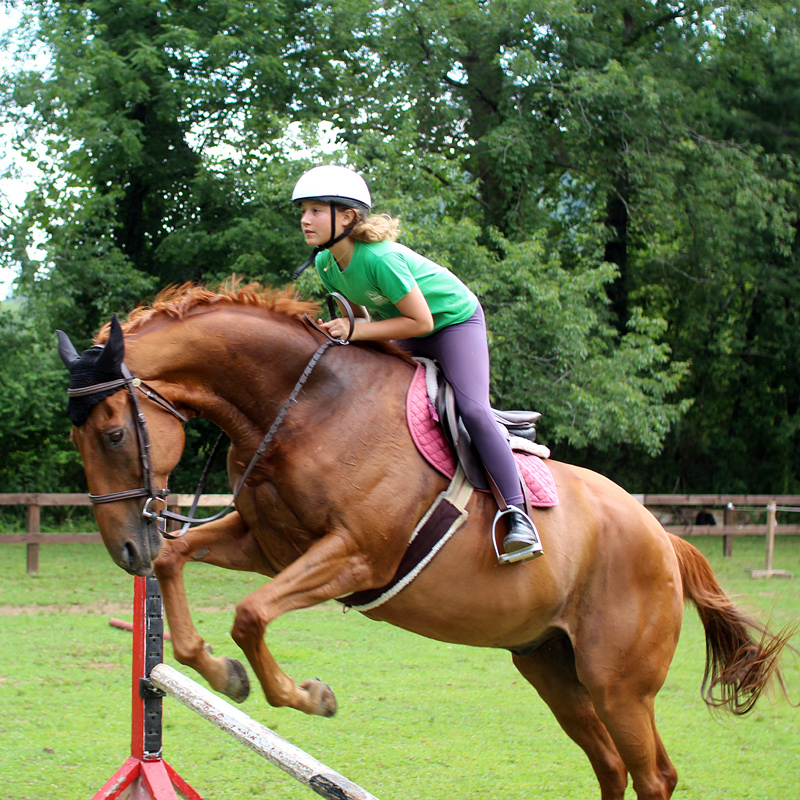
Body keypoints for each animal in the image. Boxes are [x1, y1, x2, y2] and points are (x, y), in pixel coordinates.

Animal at [57, 282, 788, 800]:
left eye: (114, 434)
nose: (125, 551)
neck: (302, 406)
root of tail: (665, 540)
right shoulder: (267, 544)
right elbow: (181, 563)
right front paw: (223, 674)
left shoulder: (357, 555)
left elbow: (251, 614)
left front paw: (309, 696)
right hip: (551, 667)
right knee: (611, 768)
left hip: (619, 686)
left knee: (653, 775)